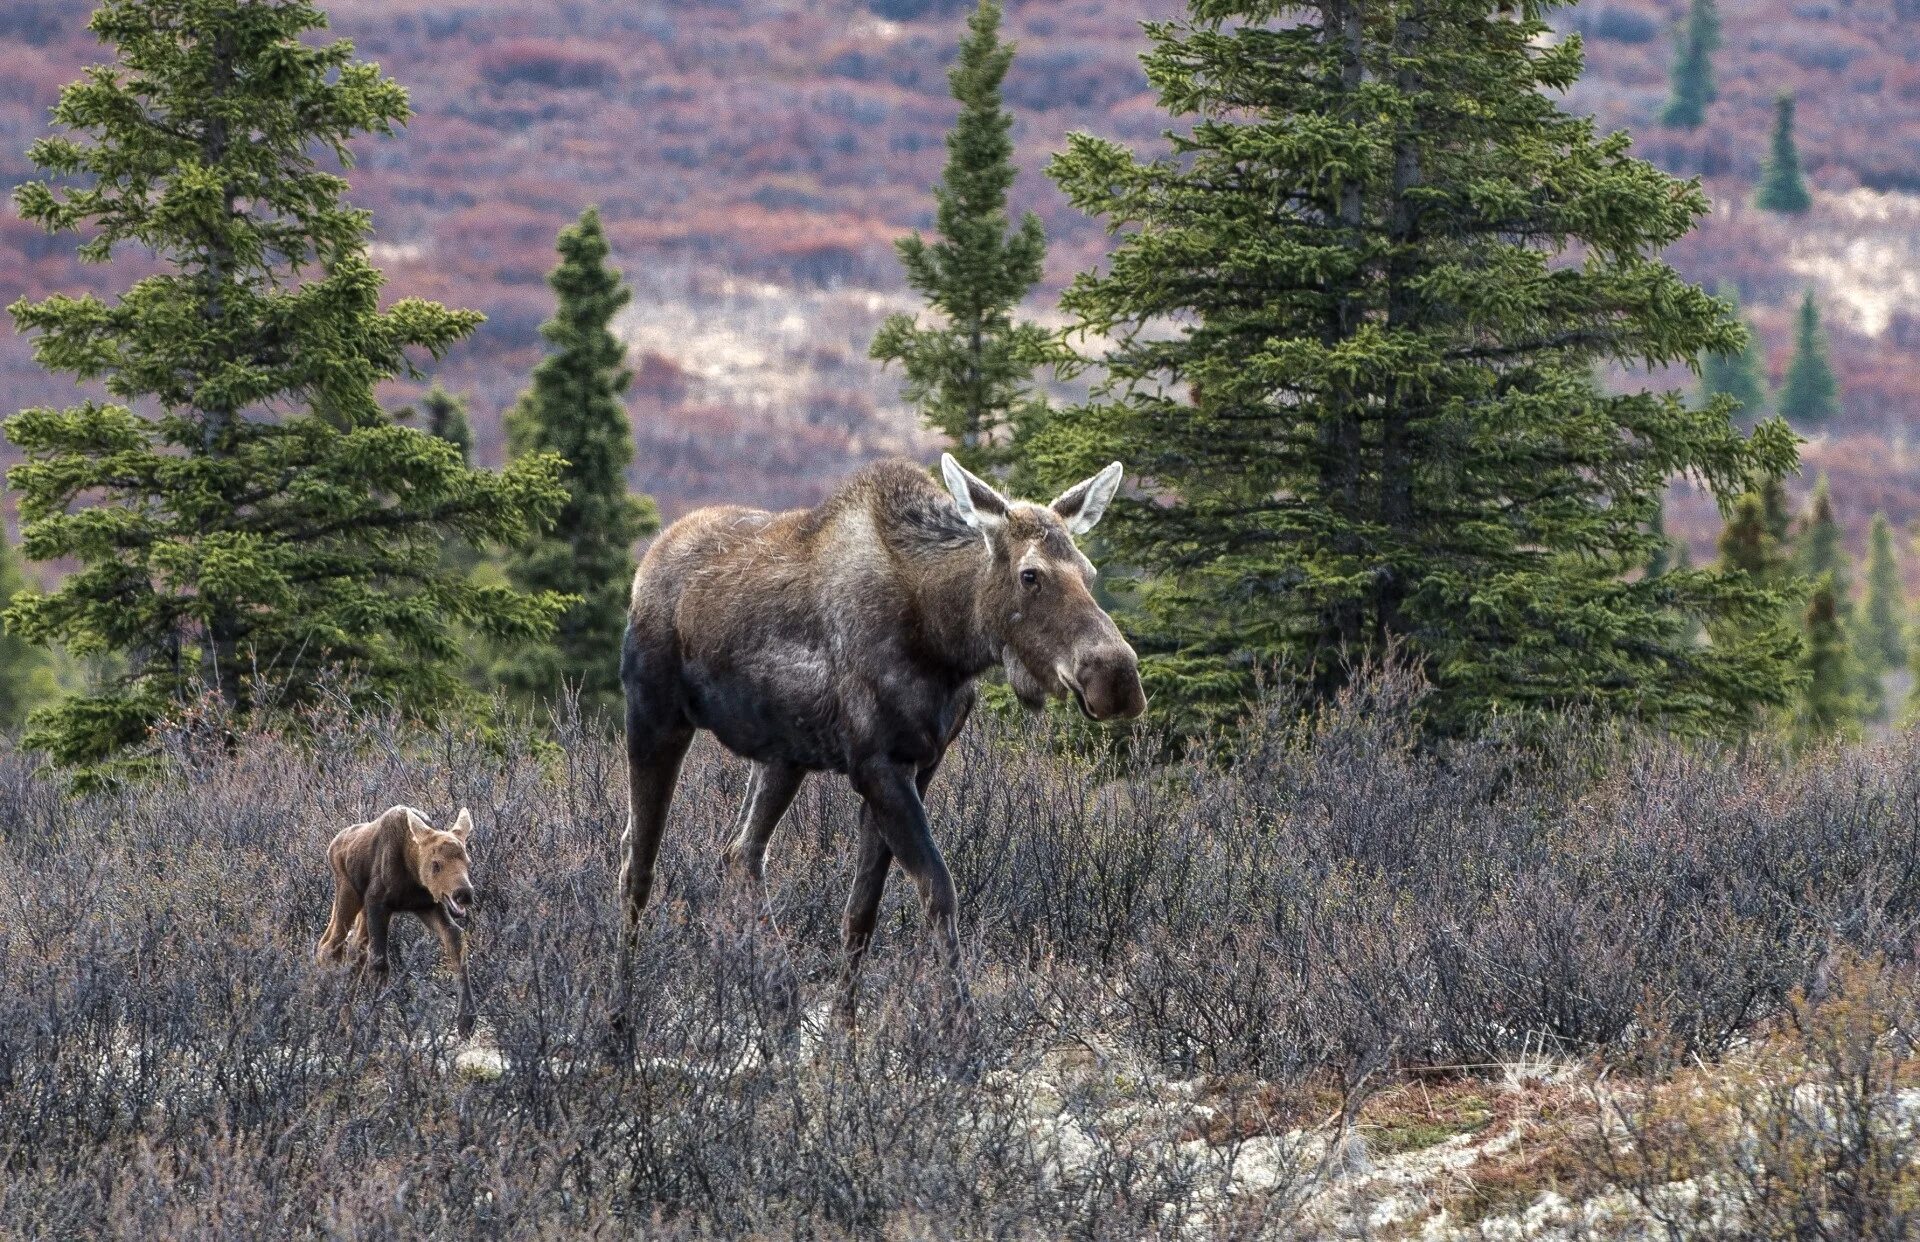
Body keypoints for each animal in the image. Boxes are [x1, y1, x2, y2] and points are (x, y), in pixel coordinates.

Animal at [316, 806, 478, 1036]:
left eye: (468, 862)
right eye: (436, 864)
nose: (463, 893)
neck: (412, 873)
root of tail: (332, 845)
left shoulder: (427, 905)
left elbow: (455, 938)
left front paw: (466, 1020)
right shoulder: (377, 903)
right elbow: (379, 964)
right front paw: (373, 1031)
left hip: (361, 908)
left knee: (354, 949)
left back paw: (343, 1023)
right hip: (348, 891)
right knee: (329, 946)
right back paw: (326, 1013)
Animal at [622, 454, 1144, 1021]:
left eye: (1090, 573)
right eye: (1031, 575)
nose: (1116, 677)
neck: (945, 638)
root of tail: (649, 560)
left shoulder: (919, 762)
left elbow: (862, 910)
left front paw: (842, 1031)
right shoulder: (878, 764)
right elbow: (939, 889)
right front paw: (963, 1027)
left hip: (782, 757)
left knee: (739, 853)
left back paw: (779, 1000)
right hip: (654, 717)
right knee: (638, 863)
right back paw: (618, 1011)